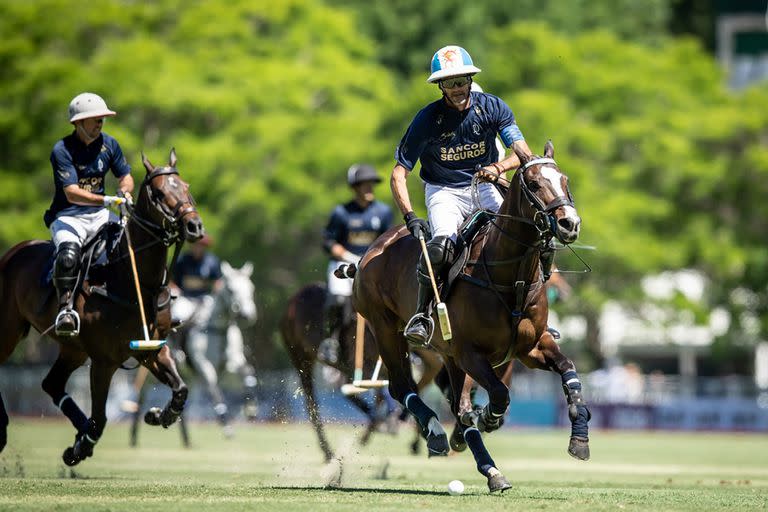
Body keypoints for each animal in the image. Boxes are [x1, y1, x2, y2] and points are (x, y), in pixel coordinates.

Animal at [0, 147, 204, 464]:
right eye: (159, 193)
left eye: (186, 187)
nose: (194, 226)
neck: (131, 281)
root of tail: (15, 250)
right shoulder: (103, 361)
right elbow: (101, 419)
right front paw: (81, 446)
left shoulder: (152, 349)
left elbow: (181, 389)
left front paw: (158, 415)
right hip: (9, 330)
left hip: (73, 348)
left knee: (51, 383)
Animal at [280, 282, 440, 462]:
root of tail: (294, 299)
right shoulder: (360, 367)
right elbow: (379, 393)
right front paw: (387, 423)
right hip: (300, 358)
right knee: (311, 405)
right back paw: (328, 451)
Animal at [352, 142, 592, 494]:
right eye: (534, 184)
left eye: (565, 180)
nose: (569, 224)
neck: (510, 277)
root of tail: (372, 249)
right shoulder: (470, 352)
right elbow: (499, 395)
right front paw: (487, 416)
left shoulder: (530, 348)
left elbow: (569, 371)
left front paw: (579, 438)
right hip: (385, 328)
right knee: (402, 386)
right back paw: (439, 433)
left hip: (447, 355)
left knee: (454, 403)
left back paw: (486, 465)